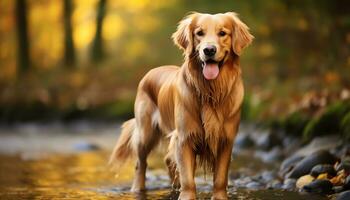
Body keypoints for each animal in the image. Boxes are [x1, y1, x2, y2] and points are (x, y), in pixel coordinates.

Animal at [108, 11, 252, 199]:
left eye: (222, 33)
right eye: (199, 33)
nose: (209, 50)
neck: (210, 92)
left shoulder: (225, 140)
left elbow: (220, 178)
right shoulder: (184, 138)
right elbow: (188, 178)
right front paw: (187, 196)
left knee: (168, 160)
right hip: (145, 133)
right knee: (141, 164)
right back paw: (138, 189)